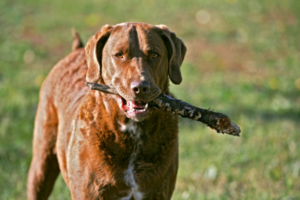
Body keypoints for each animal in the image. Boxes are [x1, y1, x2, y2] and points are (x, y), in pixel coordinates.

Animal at [27, 22, 185, 199]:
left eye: (155, 55)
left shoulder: (158, 191)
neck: (132, 133)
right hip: (42, 161)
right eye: (119, 55)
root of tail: (76, 51)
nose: (140, 87)